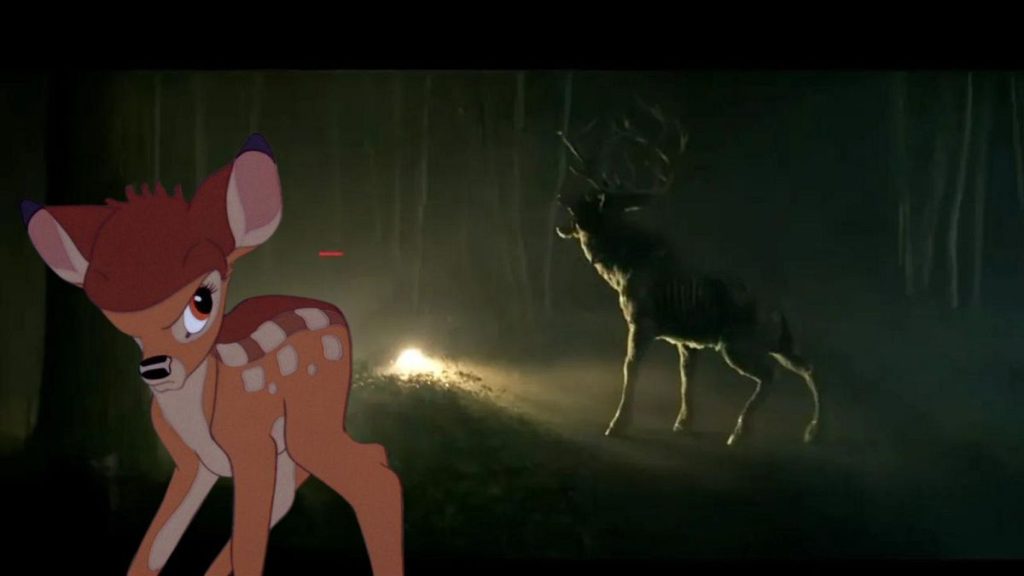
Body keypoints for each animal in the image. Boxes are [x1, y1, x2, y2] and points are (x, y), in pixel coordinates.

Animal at [20, 134, 404, 575]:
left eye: (201, 302)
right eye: (126, 328)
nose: (155, 369)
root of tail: (335, 312)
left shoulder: (251, 446)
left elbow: (249, 540)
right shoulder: (191, 463)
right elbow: (156, 544)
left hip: (312, 419)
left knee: (376, 472)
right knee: (304, 487)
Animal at [554, 103, 821, 446]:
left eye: (583, 204)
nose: (562, 213)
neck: (624, 267)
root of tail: (779, 311)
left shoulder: (643, 321)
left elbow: (630, 368)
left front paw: (618, 424)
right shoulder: (686, 339)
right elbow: (686, 377)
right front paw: (684, 422)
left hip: (738, 342)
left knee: (771, 375)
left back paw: (740, 432)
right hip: (778, 341)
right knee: (807, 367)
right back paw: (813, 431)